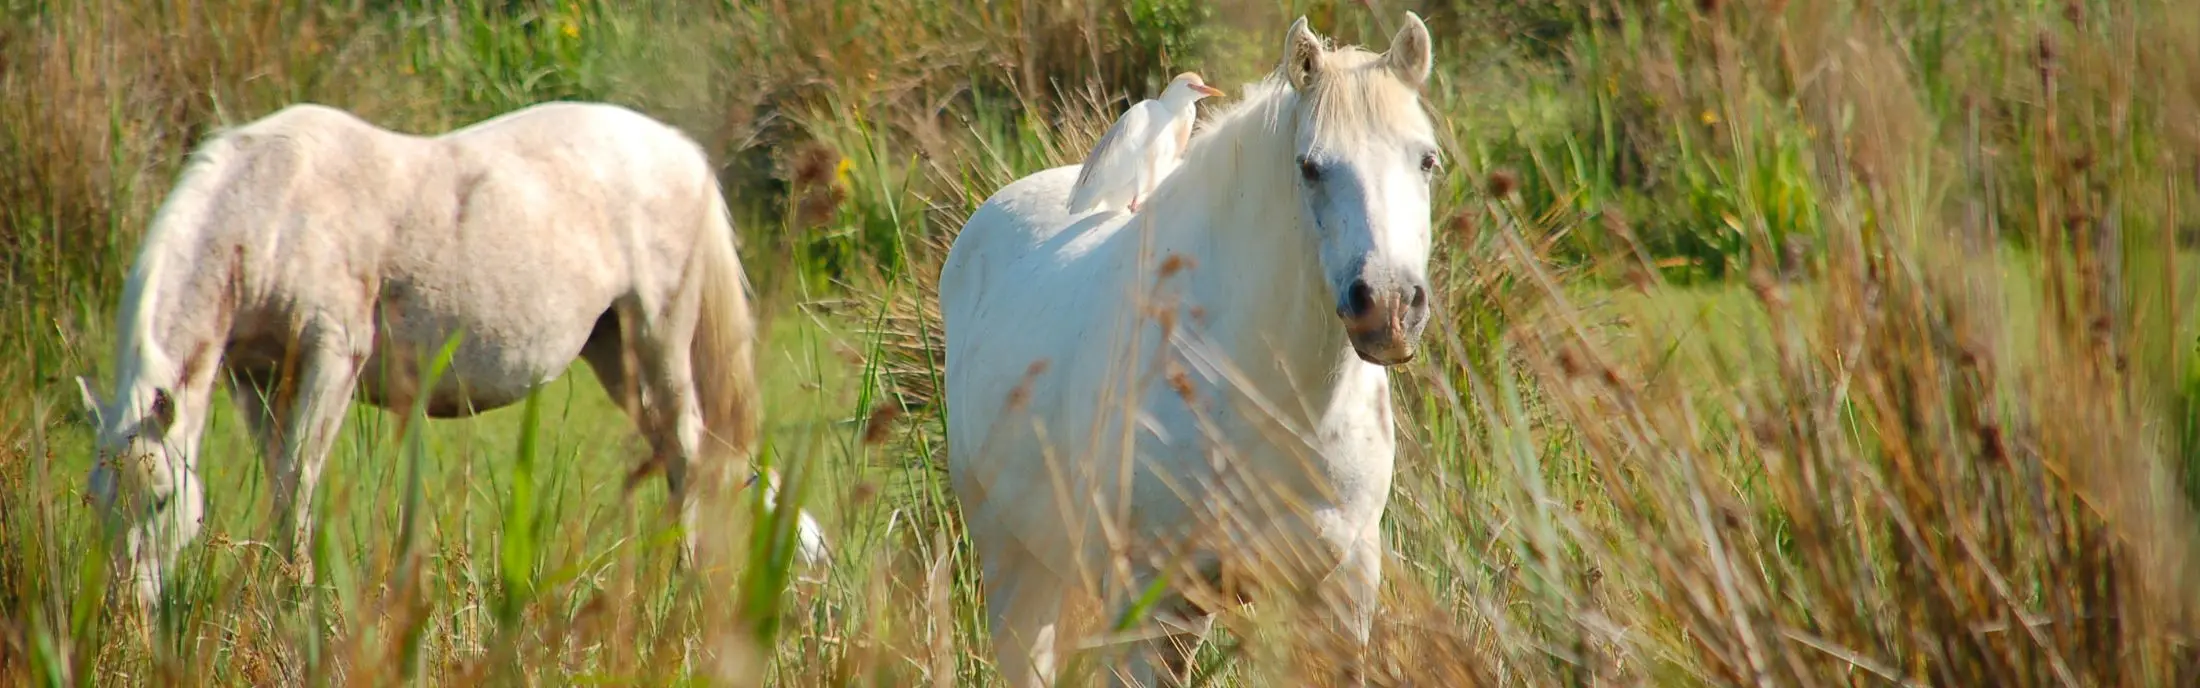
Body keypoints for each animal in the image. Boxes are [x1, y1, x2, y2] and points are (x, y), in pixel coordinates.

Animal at [79, 100, 827, 606]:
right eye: (95, 501)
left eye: (160, 503)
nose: (125, 610)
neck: (273, 207)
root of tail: (677, 150)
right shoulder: (255, 378)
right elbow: (282, 481)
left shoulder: (331, 358)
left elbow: (299, 481)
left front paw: (294, 597)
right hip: (617, 353)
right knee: (683, 454)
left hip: (660, 336)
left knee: (690, 452)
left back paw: (686, 580)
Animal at [946, 16, 1443, 685]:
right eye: (1310, 167)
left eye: (1427, 160)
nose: (1387, 307)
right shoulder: (1148, 602)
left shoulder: (1340, 595)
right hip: (1016, 568)